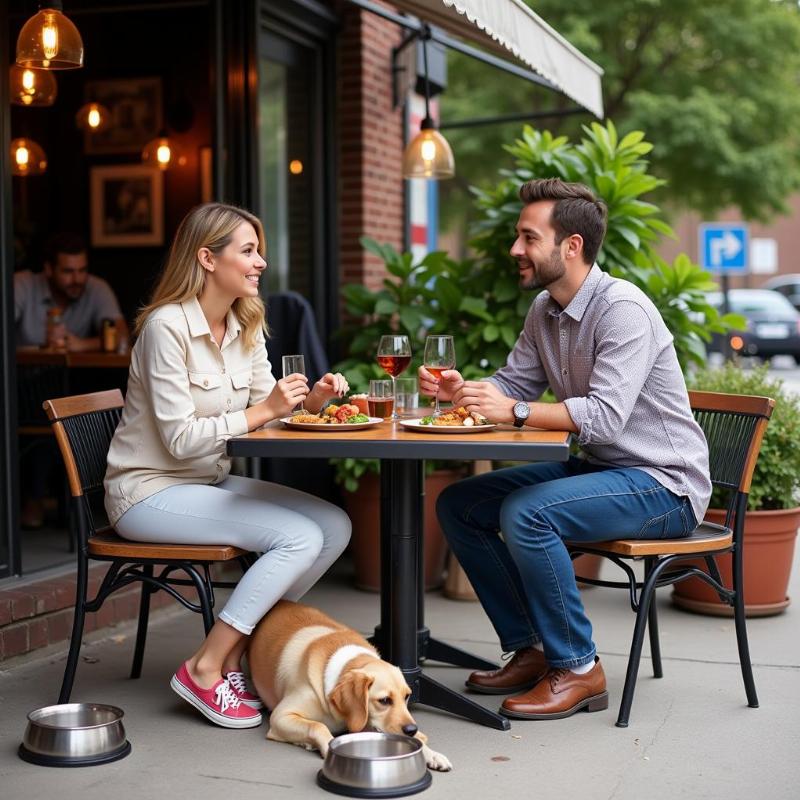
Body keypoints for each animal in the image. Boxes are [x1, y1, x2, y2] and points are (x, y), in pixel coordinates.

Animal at [247, 600, 454, 768]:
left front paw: (431, 753)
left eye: (407, 696)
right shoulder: (281, 716)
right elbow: (317, 726)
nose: (412, 729)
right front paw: (327, 746)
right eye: (384, 700)